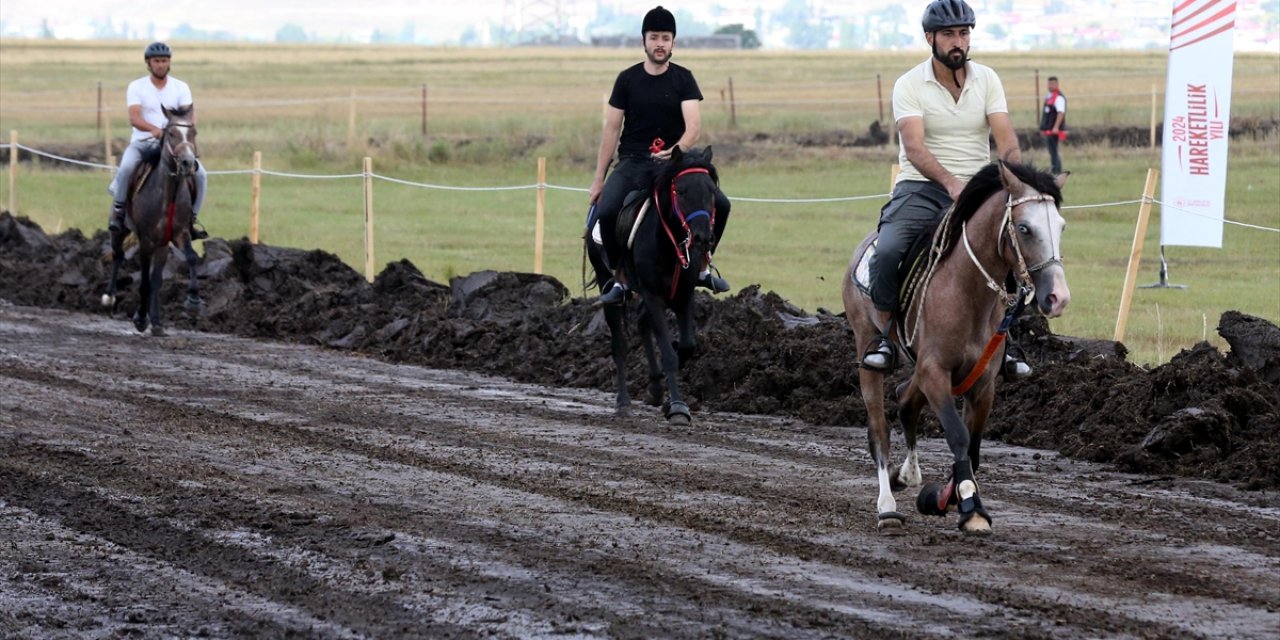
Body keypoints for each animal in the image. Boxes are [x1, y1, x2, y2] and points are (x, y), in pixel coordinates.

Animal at [102, 104, 202, 335]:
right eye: (171, 133)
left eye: (193, 132)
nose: (188, 163)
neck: (169, 195)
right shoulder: (146, 240)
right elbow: (144, 282)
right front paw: (140, 319)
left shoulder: (179, 234)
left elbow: (191, 258)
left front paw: (193, 301)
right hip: (119, 231)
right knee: (118, 255)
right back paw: (109, 296)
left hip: (162, 244)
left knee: (156, 278)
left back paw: (156, 321)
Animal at [586, 145, 721, 424]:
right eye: (680, 191)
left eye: (711, 192)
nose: (703, 237)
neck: (669, 244)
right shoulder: (652, 294)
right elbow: (668, 353)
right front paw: (678, 407)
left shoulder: (683, 294)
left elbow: (686, 347)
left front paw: (667, 398)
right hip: (609, 283)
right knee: (619, 342)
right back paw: (624, 401)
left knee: (641, 322)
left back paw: (657, 389)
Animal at [839, 160, 1070, 535]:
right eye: (1024, 228)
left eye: (1061, 226)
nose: (1057, 297)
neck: (966, 292)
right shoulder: (934, 372)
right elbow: (958, 436)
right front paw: (970, 507)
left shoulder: (982, 383)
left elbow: (973, 447)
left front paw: (952, 495)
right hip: (867, 347)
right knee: (879, 429)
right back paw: (887, 507)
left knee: (905, 400)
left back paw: (907, 475)